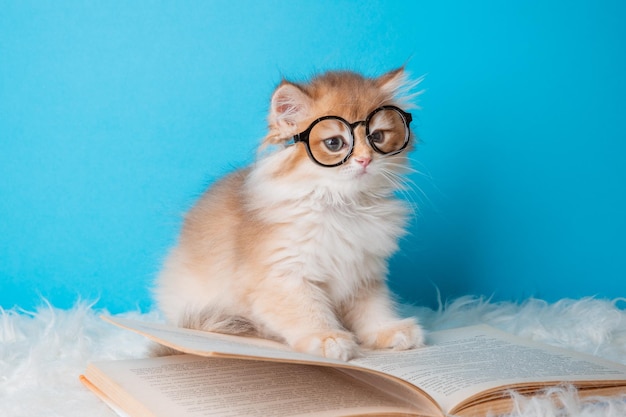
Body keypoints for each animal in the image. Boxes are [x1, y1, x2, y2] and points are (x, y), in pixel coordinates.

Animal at [154, 66, 424, 360]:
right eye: (334, 143)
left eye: (377, 137)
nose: (365, 160)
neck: (342, 205)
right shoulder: (284, 276)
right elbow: (309, 312)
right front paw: (329, 339)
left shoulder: (363, 274)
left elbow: (373, 310)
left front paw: (390, 331)